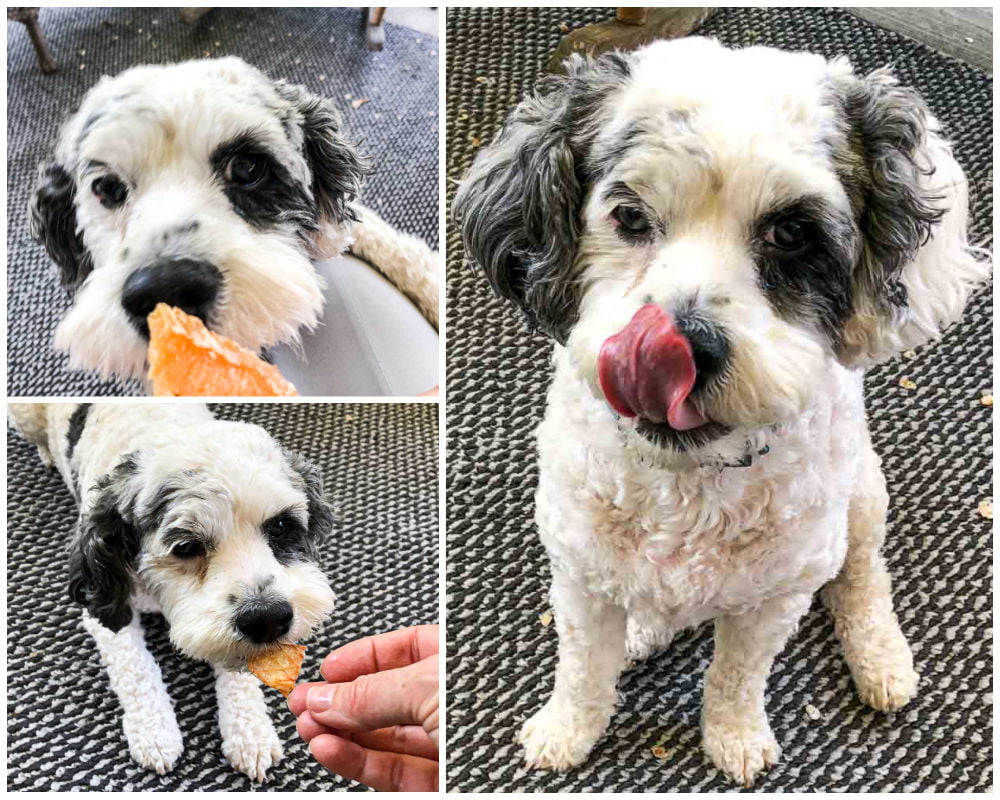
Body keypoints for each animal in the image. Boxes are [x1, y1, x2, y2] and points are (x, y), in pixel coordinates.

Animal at [7, 404, 338, 780]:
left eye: (281, 526)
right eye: (185, 546)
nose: (266, 619)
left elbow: (238, 672)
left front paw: (250, 733)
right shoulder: (106, 607)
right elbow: (135, 669)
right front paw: (154, 734)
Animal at [456, 36, 992, 780]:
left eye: (792, 234)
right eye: (629, 216)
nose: (679, 347)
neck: (690, 480)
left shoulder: (773, 599)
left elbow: (736, 677)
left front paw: (734, 738)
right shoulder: (580, 577)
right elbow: (583, 671)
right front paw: (566, 732)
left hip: (862, 499)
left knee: (861, 576)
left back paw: (880, 656)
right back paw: (646, 627)